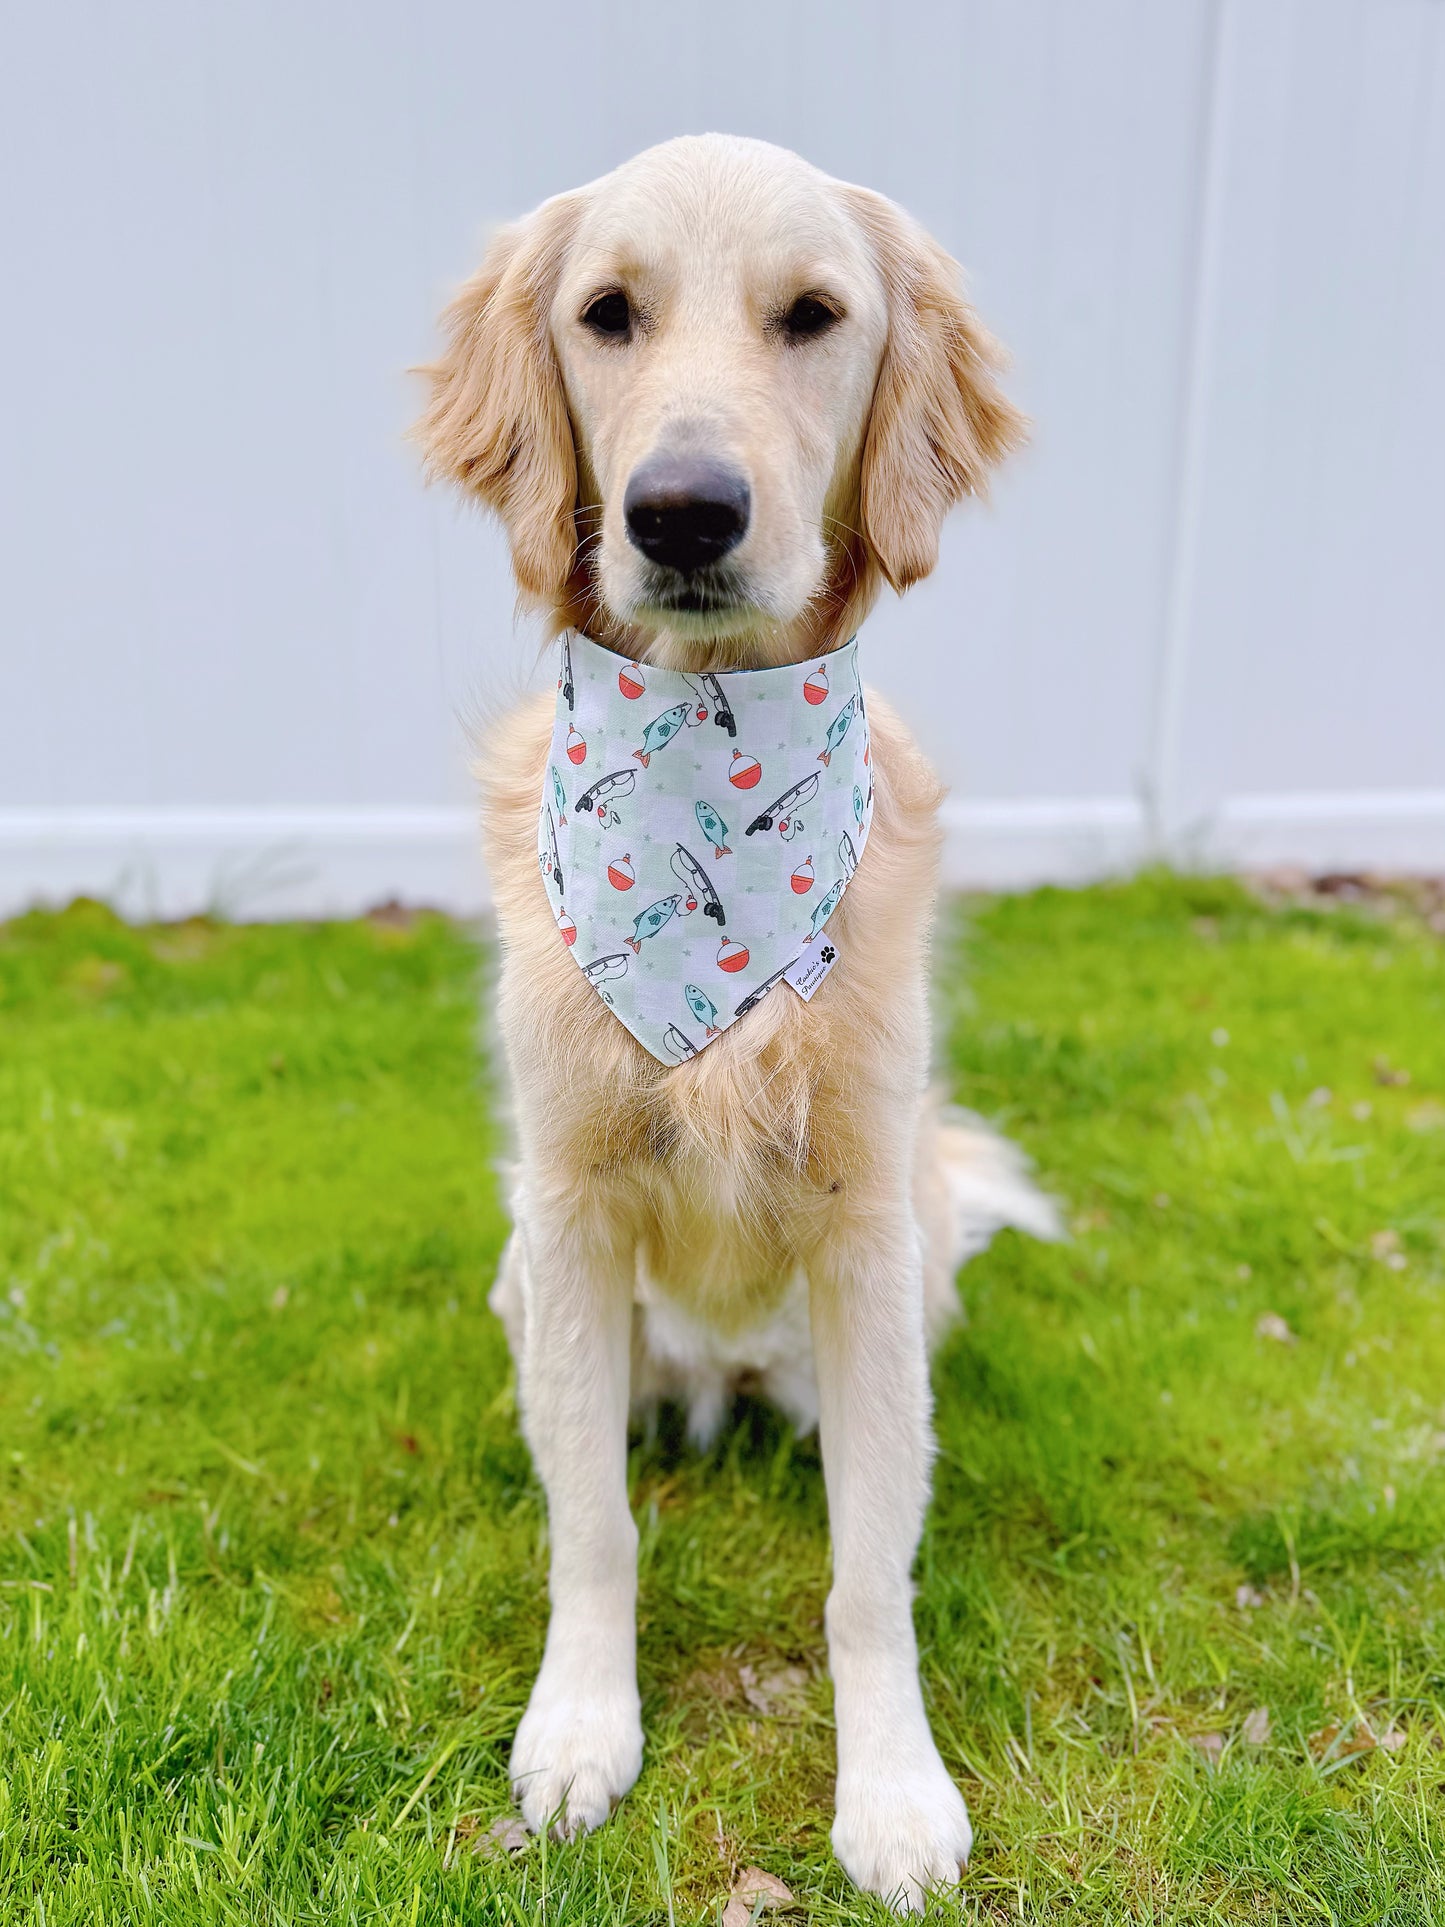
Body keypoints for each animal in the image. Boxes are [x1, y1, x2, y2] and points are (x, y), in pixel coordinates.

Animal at [412, 131, 1055, 1911]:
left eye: (812, 315)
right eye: (607, 313)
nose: (683, 509)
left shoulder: (862, 1231)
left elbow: (865, 1567)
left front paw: (893, 1793)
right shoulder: (566, 1215)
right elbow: (592, 1525)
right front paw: (578, 1729)